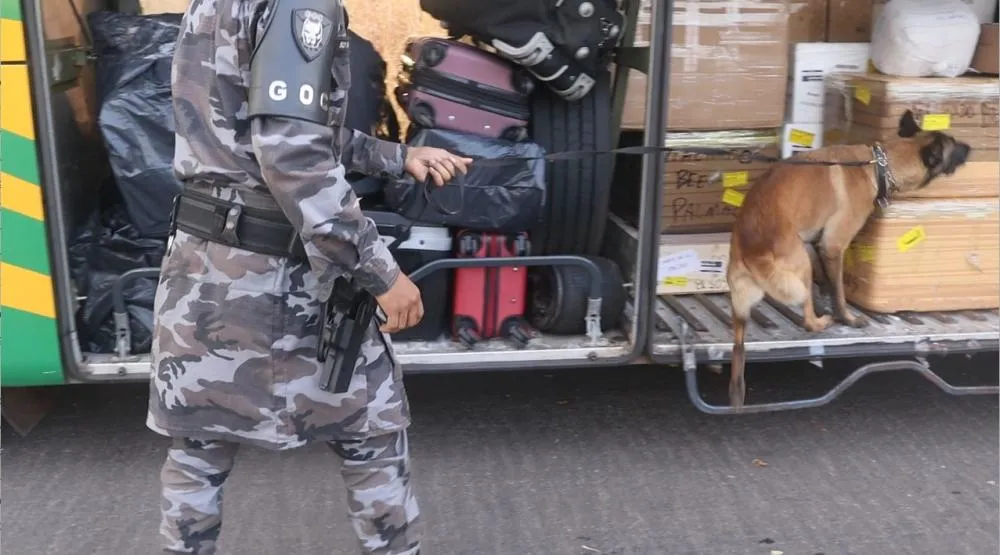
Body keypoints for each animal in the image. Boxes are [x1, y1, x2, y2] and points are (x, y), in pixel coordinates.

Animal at [724, 111, 972, 410]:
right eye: (954, 145)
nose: (971, 148)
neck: (881, 164)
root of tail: (753, 250)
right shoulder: (833, 246)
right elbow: (839, 292)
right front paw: (848, 318)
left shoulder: (818, 244)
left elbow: (829, 283)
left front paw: (826, 295)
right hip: (800, 265)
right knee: (807, 318)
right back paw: (821, 322)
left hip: (742, 301)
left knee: (738, 346)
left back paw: (737, 389)